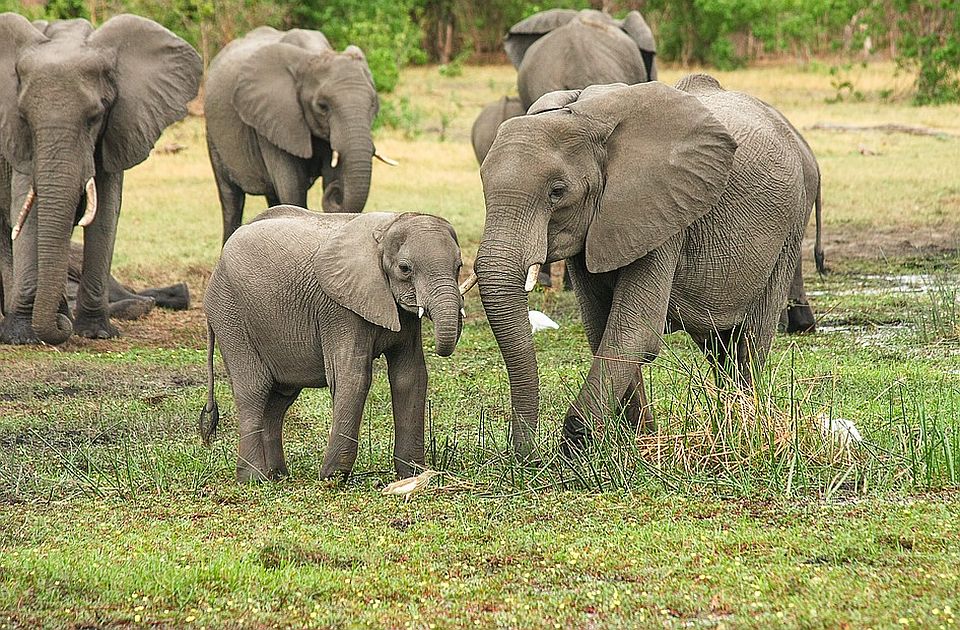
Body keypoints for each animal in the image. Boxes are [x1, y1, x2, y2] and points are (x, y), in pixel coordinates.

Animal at [0, 12, 202, 346]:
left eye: (94, 118)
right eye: (25, 118)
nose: (60, 327)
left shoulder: (119, 125)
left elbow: (107, 212)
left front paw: (95, 332)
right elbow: (25, 211)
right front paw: (20, 336)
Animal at [200, 207, 464, 484]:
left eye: (458, 266)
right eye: (405, 269)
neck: (387, 228)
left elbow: (410, 376)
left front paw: (413, 475)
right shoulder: (339, 309)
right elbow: (353, 377)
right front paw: (332, 478)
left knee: (279, 399)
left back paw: (278, 476)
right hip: (230, 314)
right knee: (254, 390)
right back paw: (254, 479)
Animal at [204, 24, 396, 243]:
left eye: (373, 103)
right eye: (322, 106)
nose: (336, 192)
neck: (314, 55)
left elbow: (329, 175)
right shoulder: (275, 118)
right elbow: (291, 187)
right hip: (213, 134)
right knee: (231, 199)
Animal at [468, 75, 812, 460]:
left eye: (557, 191)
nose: (526, 456)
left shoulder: (663, 211)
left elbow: (633, 332)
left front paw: (577, 448)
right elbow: (601, 328)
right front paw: (637, 442)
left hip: (790, 229)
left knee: (747, 343)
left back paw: (742, 431)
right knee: (718, 347)